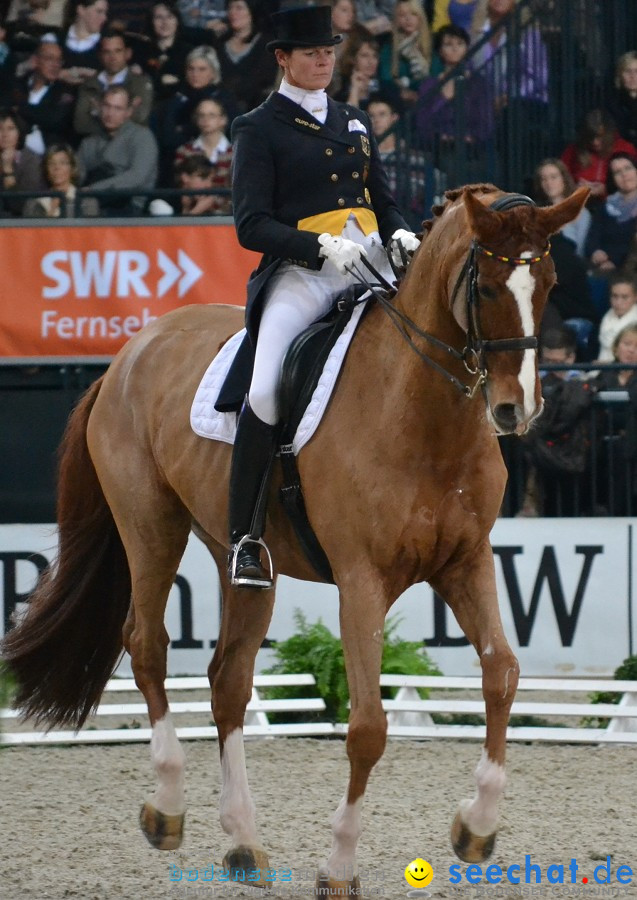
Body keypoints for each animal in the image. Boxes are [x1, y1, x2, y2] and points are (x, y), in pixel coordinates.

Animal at [1, 186, 588, 896]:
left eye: (549, 283)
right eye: (490, 284)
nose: (514, 410)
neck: (421, 412)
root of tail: (128, 354)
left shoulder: (466, 562)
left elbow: (502, 675)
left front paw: (476, 828)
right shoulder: (361, 581)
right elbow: (367, 728)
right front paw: (338, 867)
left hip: (242, 560)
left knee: (228, 679)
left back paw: (244, 843)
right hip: (150, 525)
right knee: (146, 647)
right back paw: (168, 809)